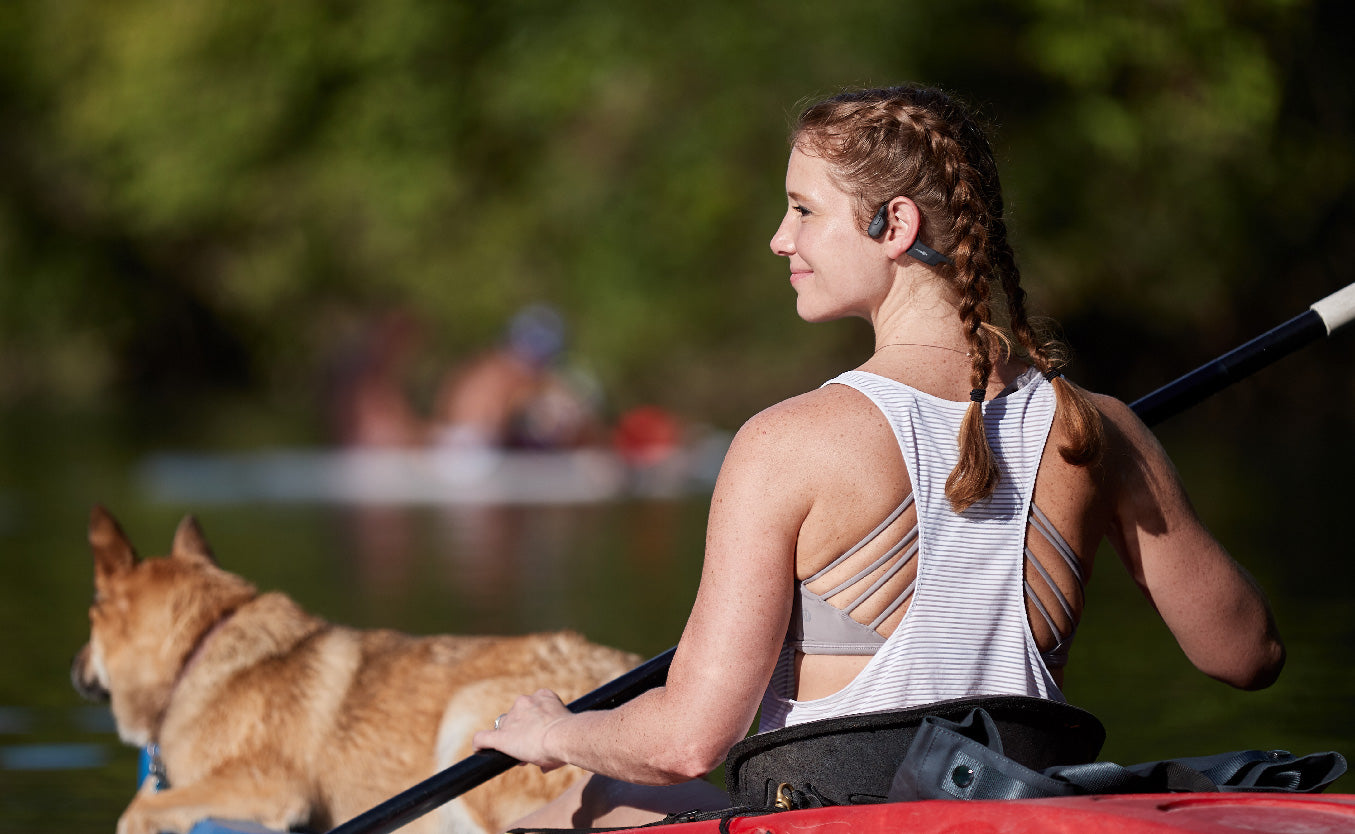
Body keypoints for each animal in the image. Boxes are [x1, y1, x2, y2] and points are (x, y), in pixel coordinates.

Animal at [71, 504, 642, 829]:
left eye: (90, 613)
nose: (74, 668)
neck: (199, 650)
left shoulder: (271, 788)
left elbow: (136, 812)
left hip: (465, 720)